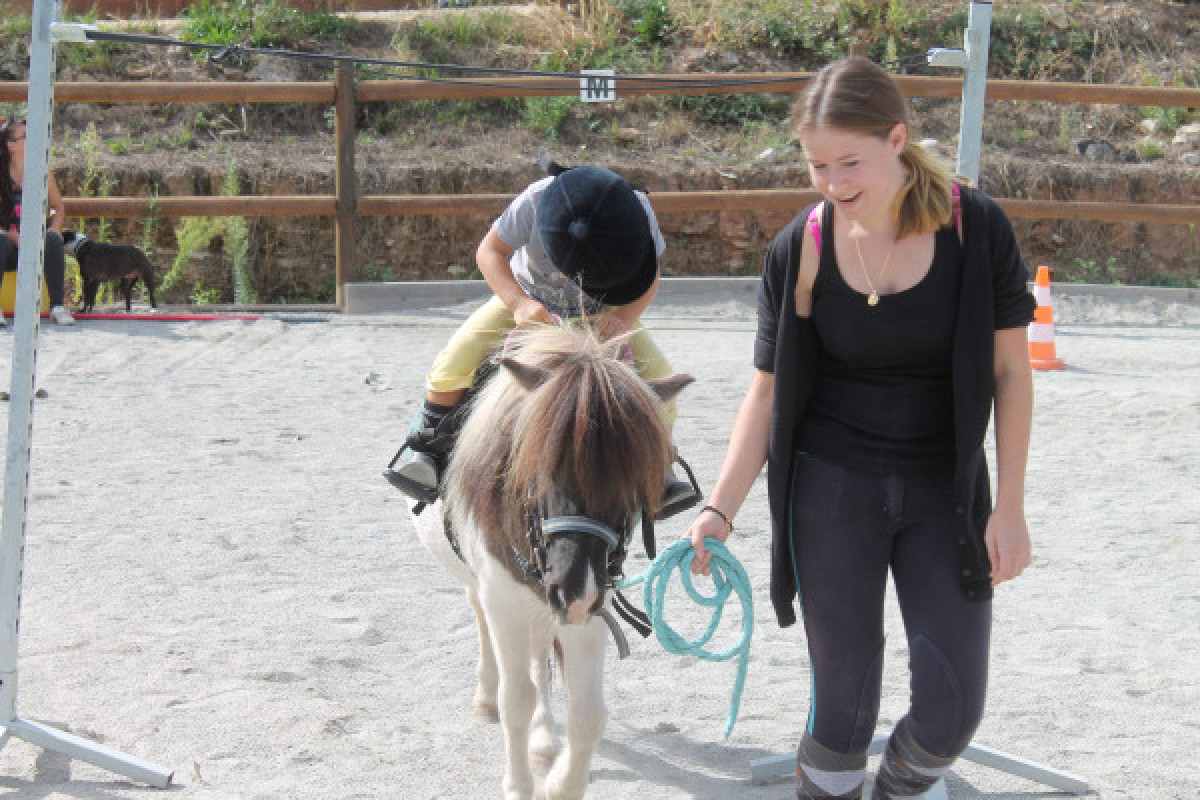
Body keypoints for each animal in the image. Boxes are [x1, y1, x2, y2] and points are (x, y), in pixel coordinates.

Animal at [408, 323, 692, 800]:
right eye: (538, 467)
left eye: (635, 482)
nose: (574, 586)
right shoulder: (505, 601)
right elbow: (515, 699)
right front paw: (519, 784)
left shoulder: (592, 608)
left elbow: (589, 713)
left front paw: (559, 783)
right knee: (483, 623)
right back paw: (485, 699)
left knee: (540, 655)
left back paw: (543, 739)